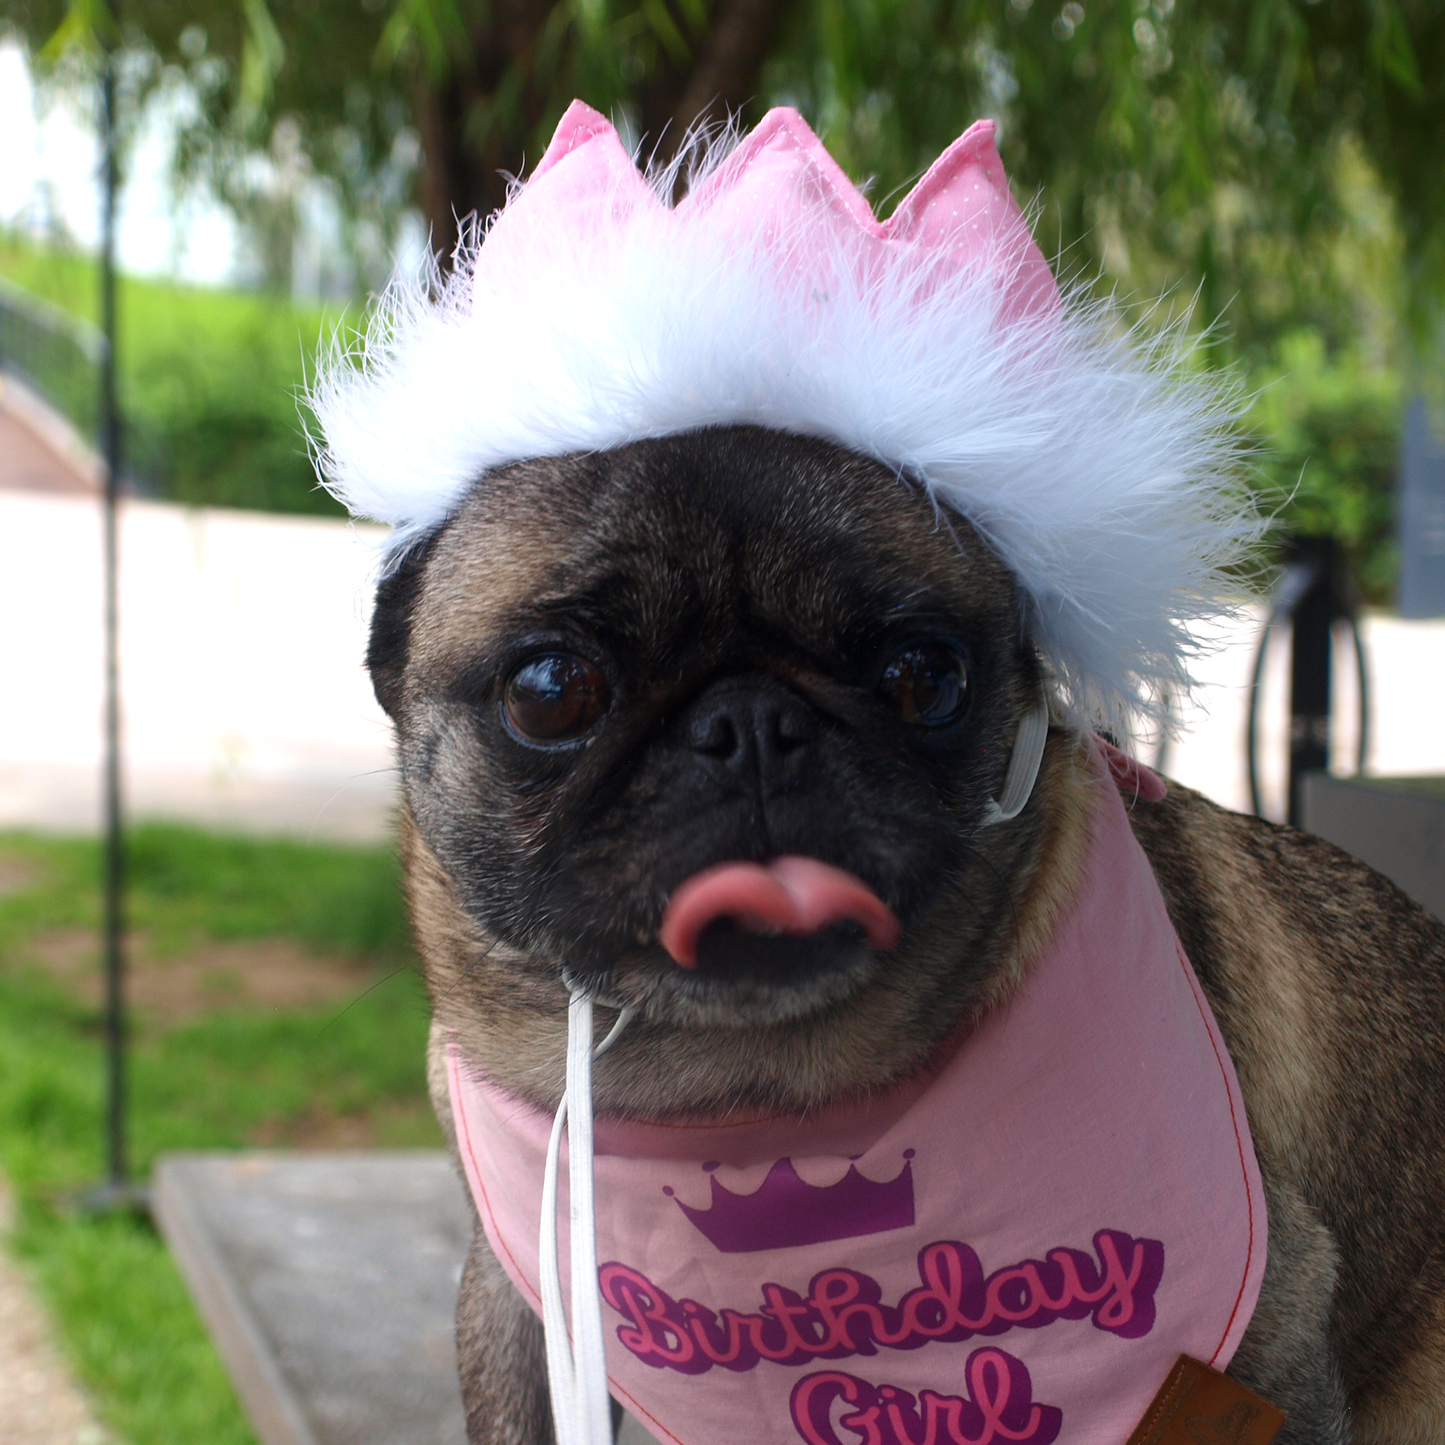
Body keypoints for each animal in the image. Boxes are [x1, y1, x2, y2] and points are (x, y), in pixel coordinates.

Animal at [316, 104, 1445, 1445]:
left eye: (921, 674)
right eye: (552, 690)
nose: (750, 722)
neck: (744, 1101)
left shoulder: (1264, 1355)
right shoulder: (513, 1303)